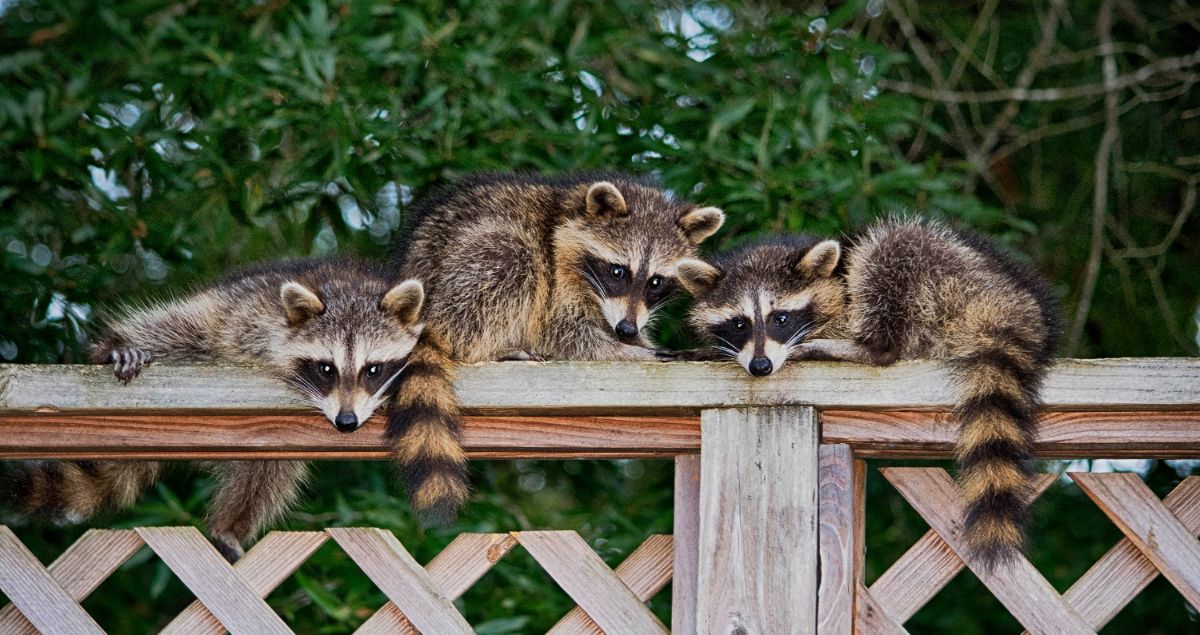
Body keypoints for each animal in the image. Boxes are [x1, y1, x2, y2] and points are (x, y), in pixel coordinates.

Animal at [1, 256, 427, 559]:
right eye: (326, 368)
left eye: (373, 369)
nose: (346, 421)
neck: (349, 288)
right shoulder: (252, 320)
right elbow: (188, 328)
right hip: (232, 304)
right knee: (181, 326)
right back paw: (115, 345)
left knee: (269, 471)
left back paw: (231, 524)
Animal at [386, 170, 720, 523]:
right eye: (619, 271)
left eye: (655, 282)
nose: (626, 329)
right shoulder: (556, 279)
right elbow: (564, 334)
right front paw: (641, 351)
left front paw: (642, 341)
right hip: (463, 275)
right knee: (508, 261)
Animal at [681, 218, 1056, 564]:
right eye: (739, 323)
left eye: (781, 318)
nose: (761, 366)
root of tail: (1015, 304)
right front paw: (707, 350)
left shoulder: (843, 301)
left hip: (944, 278)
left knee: (890, 250)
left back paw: (861, 347)